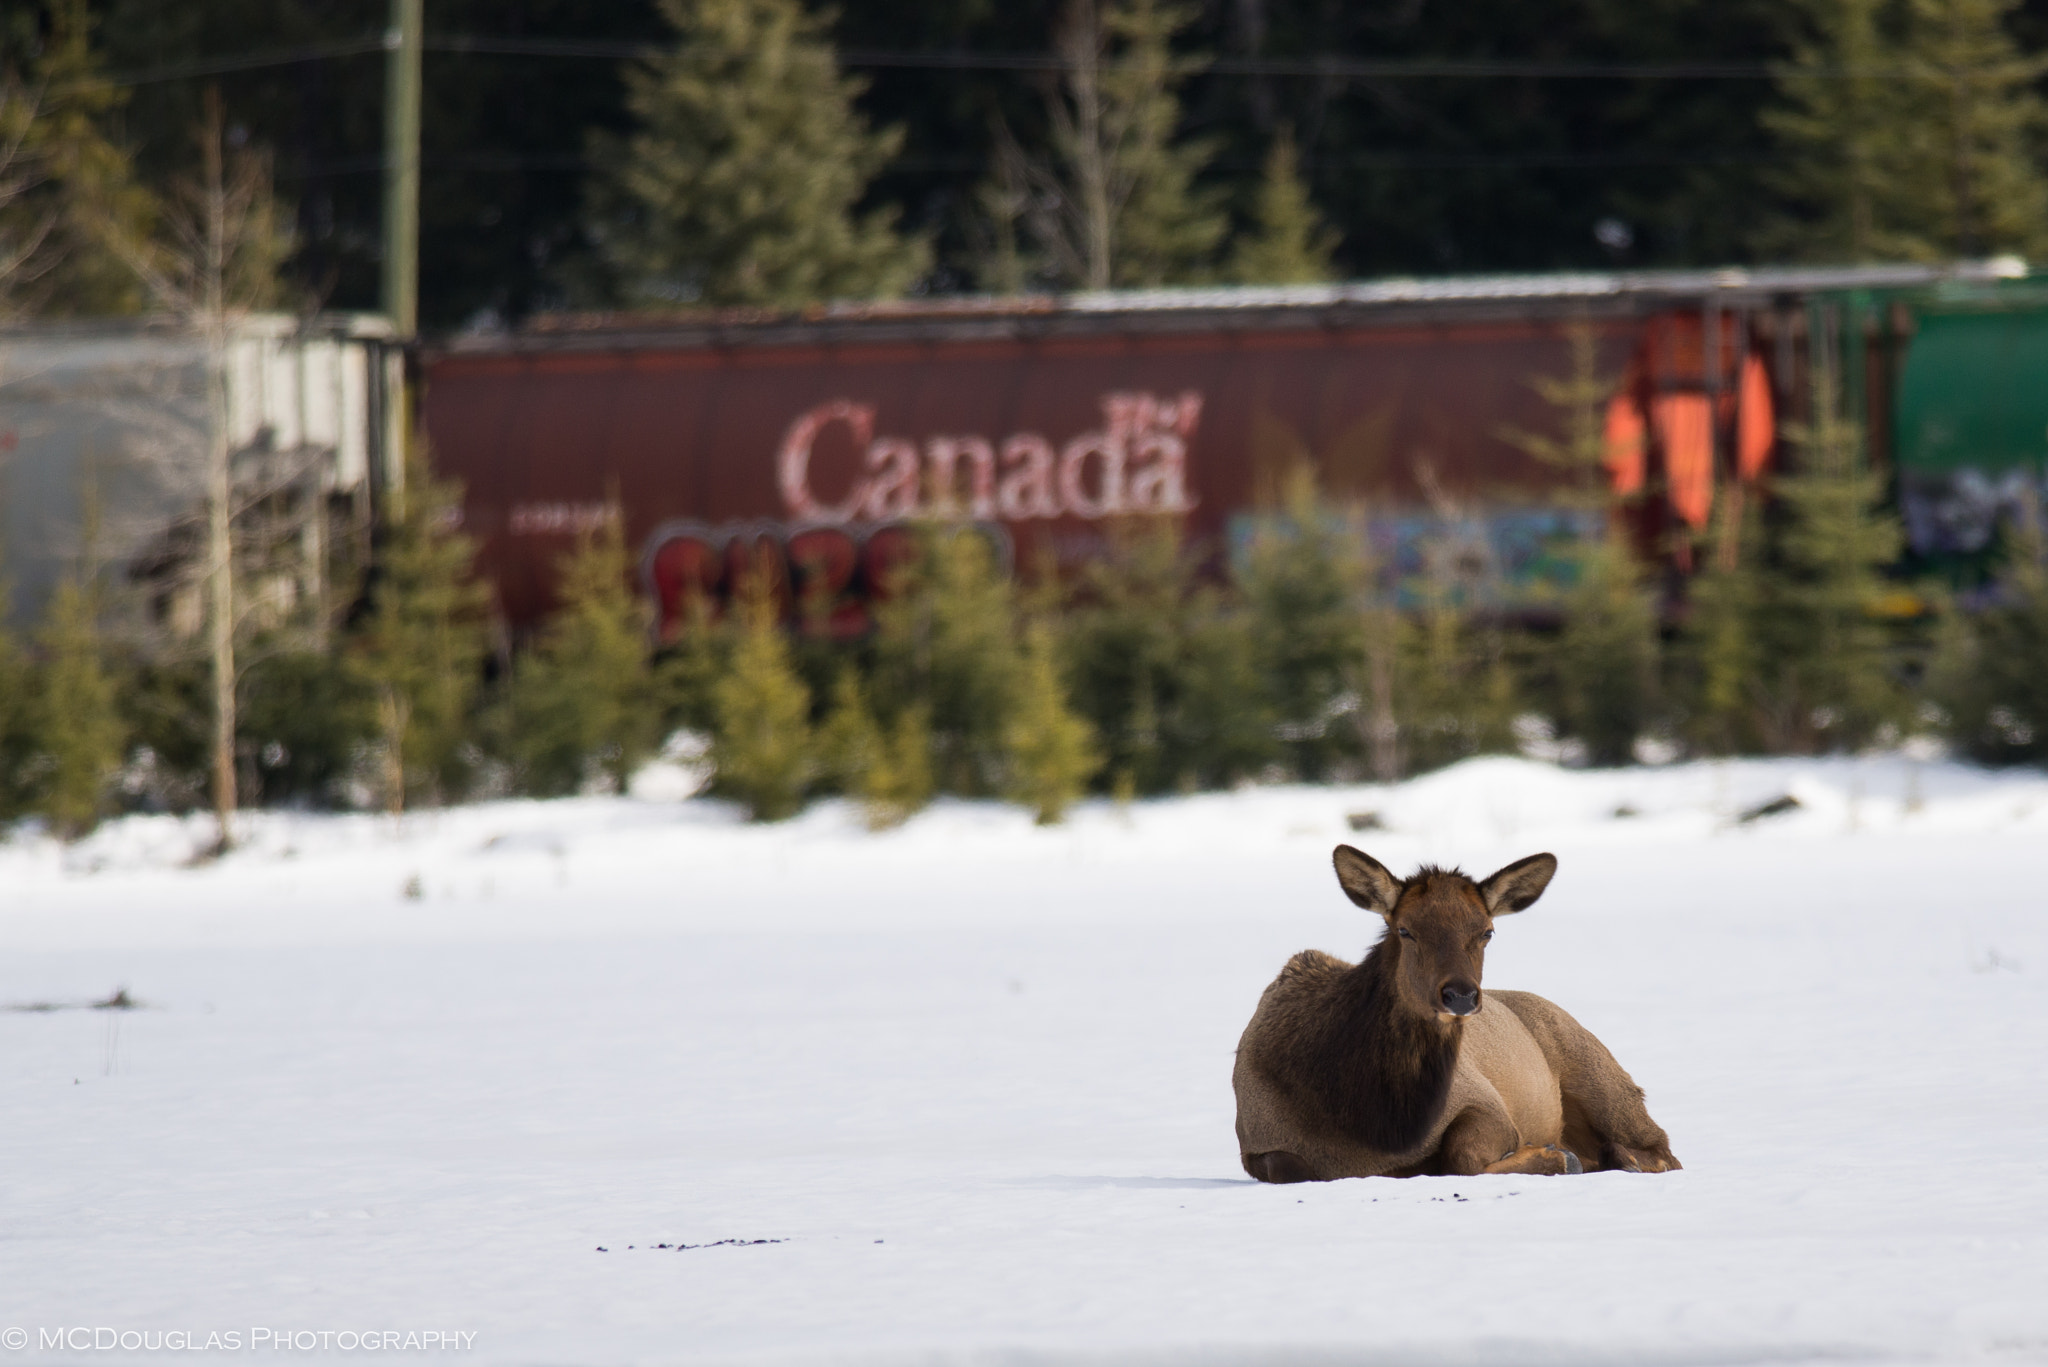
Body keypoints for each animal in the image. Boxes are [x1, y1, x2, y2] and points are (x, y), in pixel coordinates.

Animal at [1228, 844, 1679, 1180]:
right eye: (1405, 929)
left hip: (1601, 1077)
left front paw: (1556, 1157)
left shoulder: (1487, 1103)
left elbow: (1462, 1156)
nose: (1460, 995)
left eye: (1487, 931)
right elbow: (1290, 1166)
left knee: (1663, 1149)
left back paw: (1618, 1158)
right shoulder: (1256, 1142)